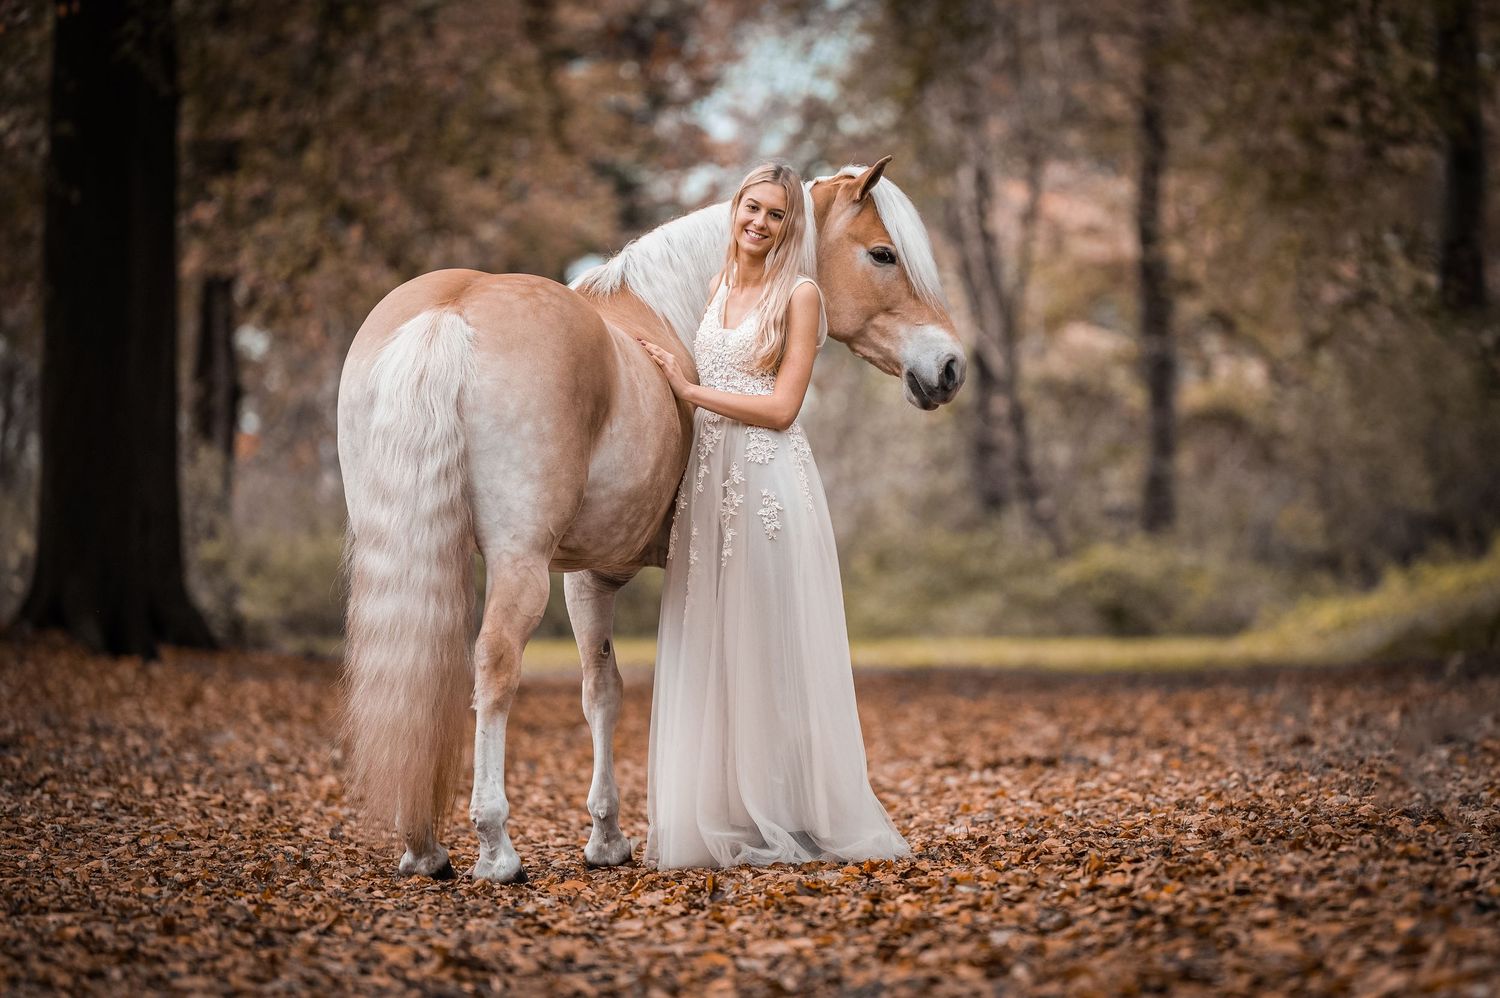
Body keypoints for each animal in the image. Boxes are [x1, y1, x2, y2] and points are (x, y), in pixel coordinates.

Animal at [337, 157, 966, 882]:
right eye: (883, 253)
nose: (950, 368)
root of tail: (453, 311)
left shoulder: (586, 577)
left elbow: (601, 691)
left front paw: (607, 837)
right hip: (517, 565)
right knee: (493, 667)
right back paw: (496, 849)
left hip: (421, 553)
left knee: (419, 674)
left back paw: (423, 846)